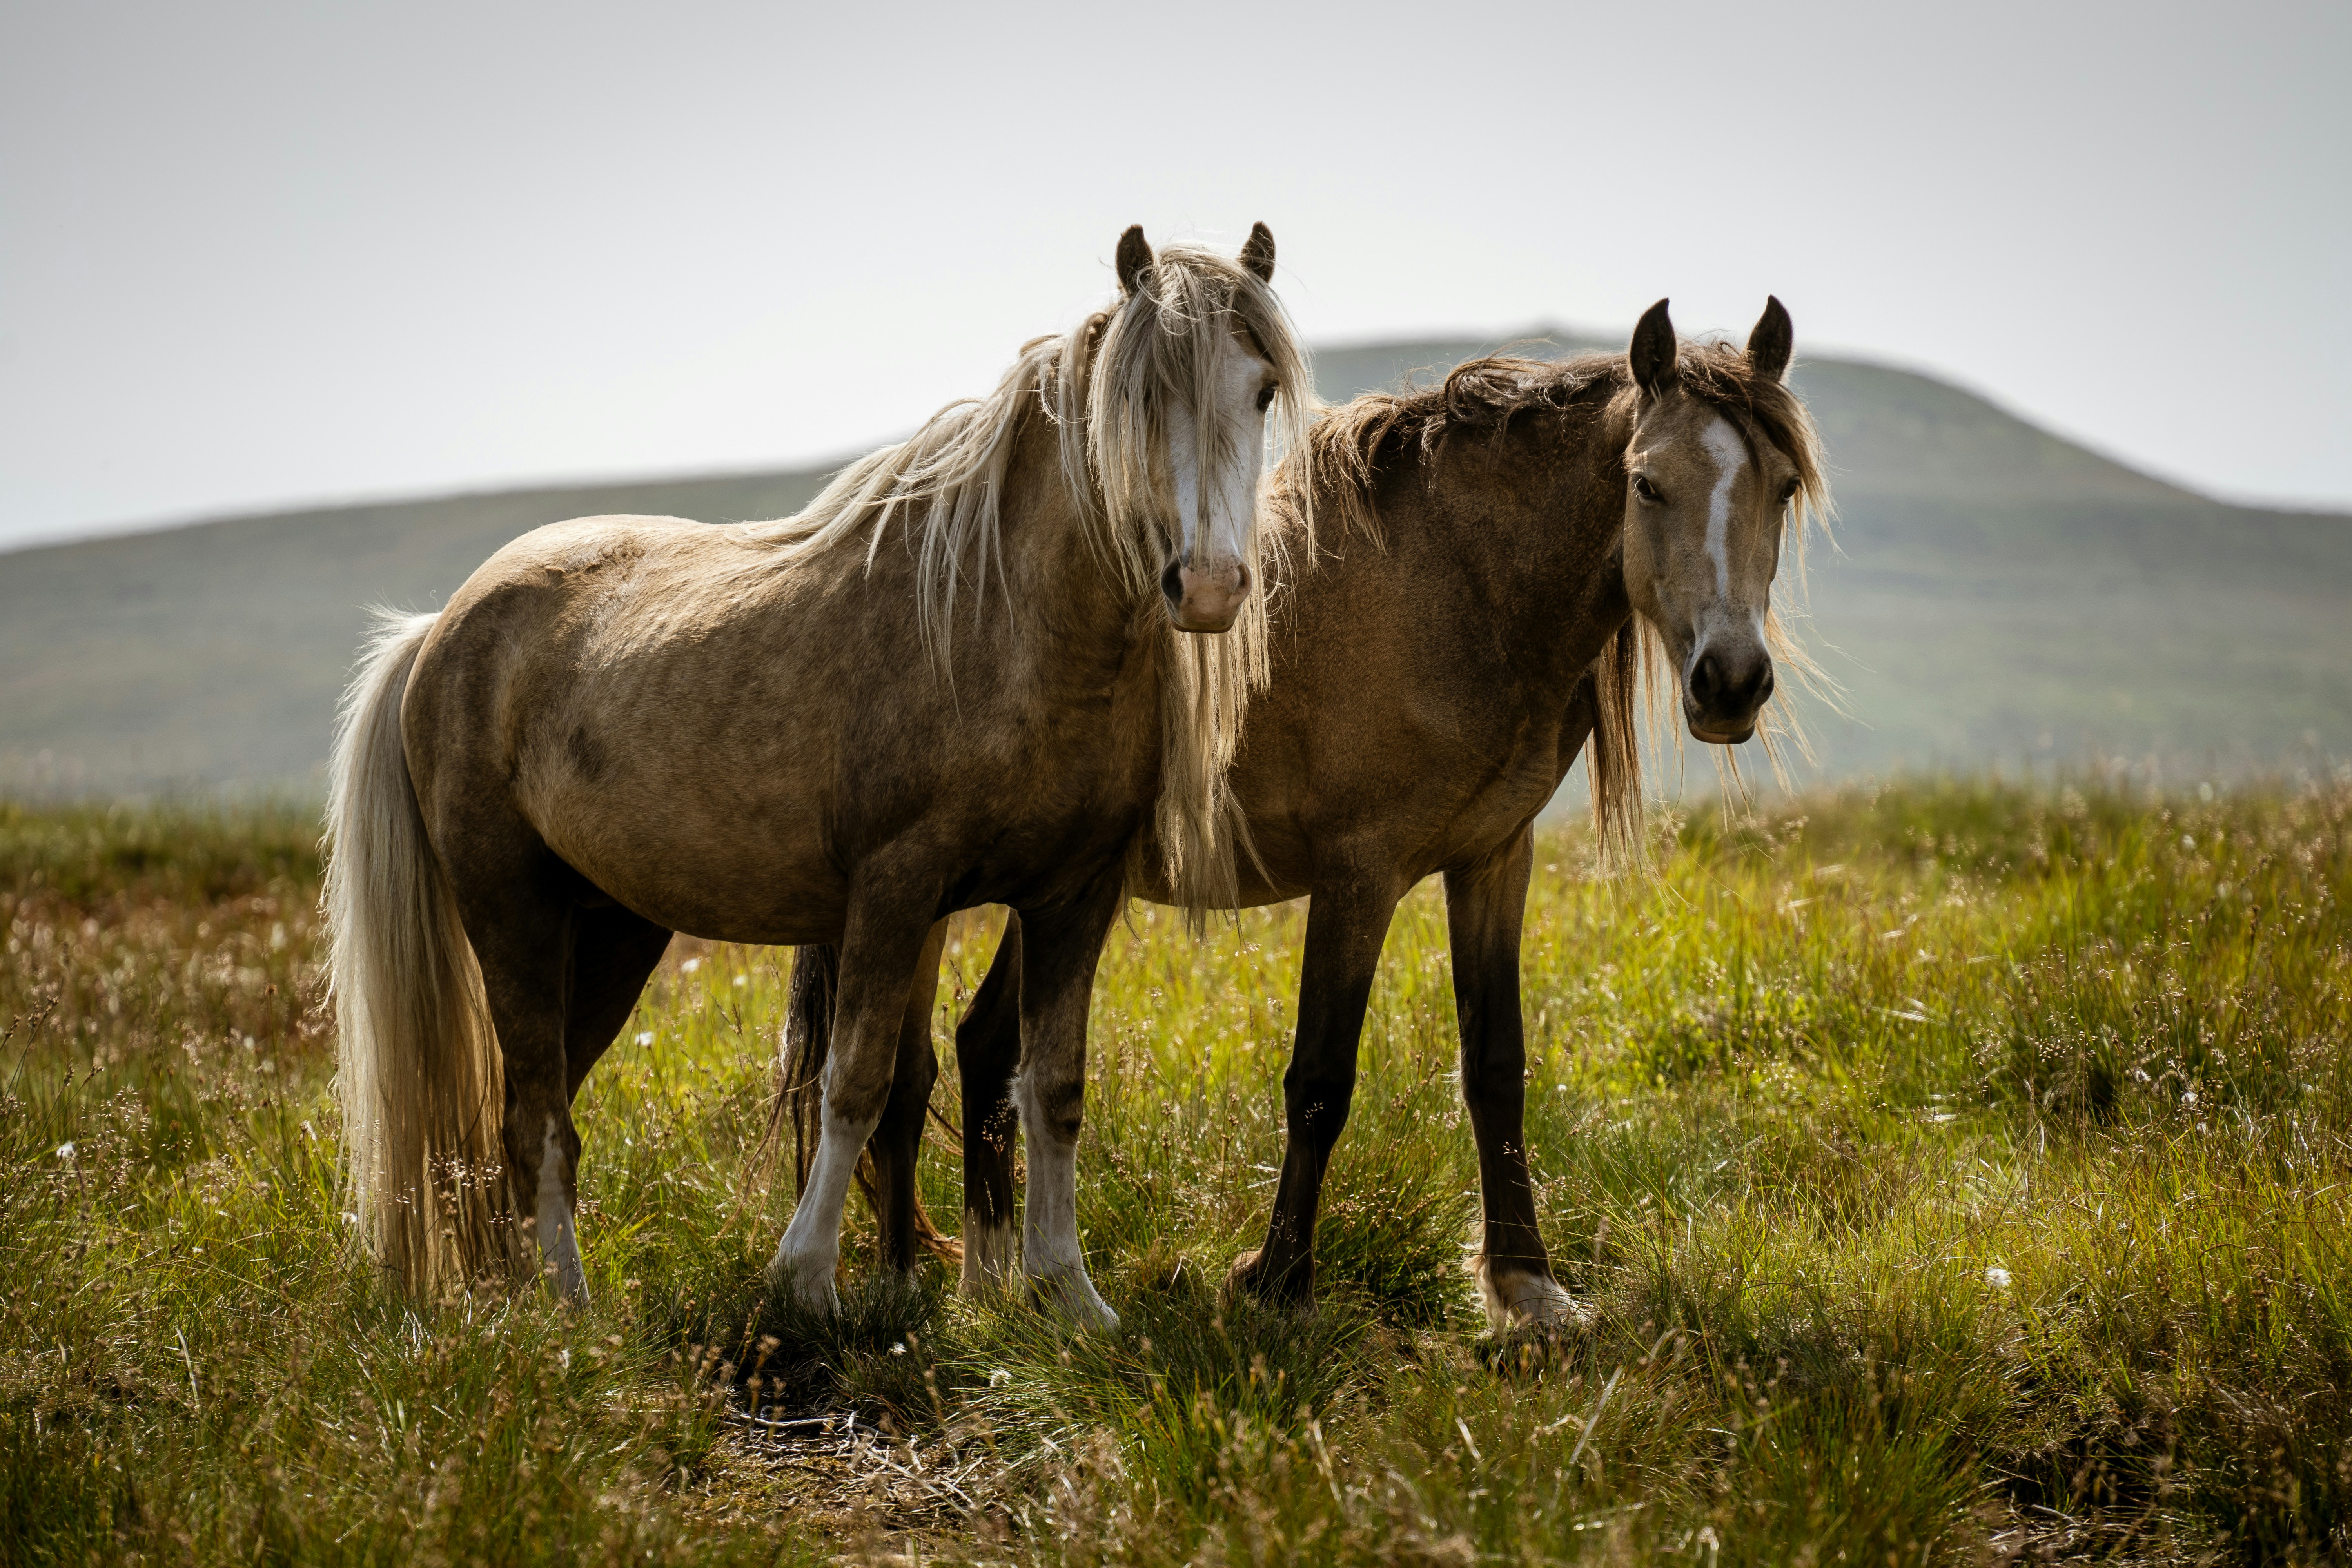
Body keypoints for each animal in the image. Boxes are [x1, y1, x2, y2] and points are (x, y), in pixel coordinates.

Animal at [323, 223, 1312, 1328]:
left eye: (1261, 389)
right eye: (1136, 399)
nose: (1210, 586)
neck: (1006, 627)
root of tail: (440, 628)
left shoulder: (1074, 898)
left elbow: (1051, 1085)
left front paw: (1069, 1293)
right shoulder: (895, 888)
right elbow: (858, 1079)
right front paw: (807, 1280)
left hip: (614, 930)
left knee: (528, 1114)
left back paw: (519, 1299)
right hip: (512, 912)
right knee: (538, 1114)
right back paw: (574, 1314)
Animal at [784, 297, 1830, 1328]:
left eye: (1782, 487)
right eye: (1647, 485)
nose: (1731, 681)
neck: (1455, 587)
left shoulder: (1494, 858)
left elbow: (1498, 1066)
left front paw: (1527, 1286)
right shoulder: (1359, 873)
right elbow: (1321, 1078)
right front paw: (1278, 1279)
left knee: (978, 1046)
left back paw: (992, 1279)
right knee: (907, 1071)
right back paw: (905, 1278)